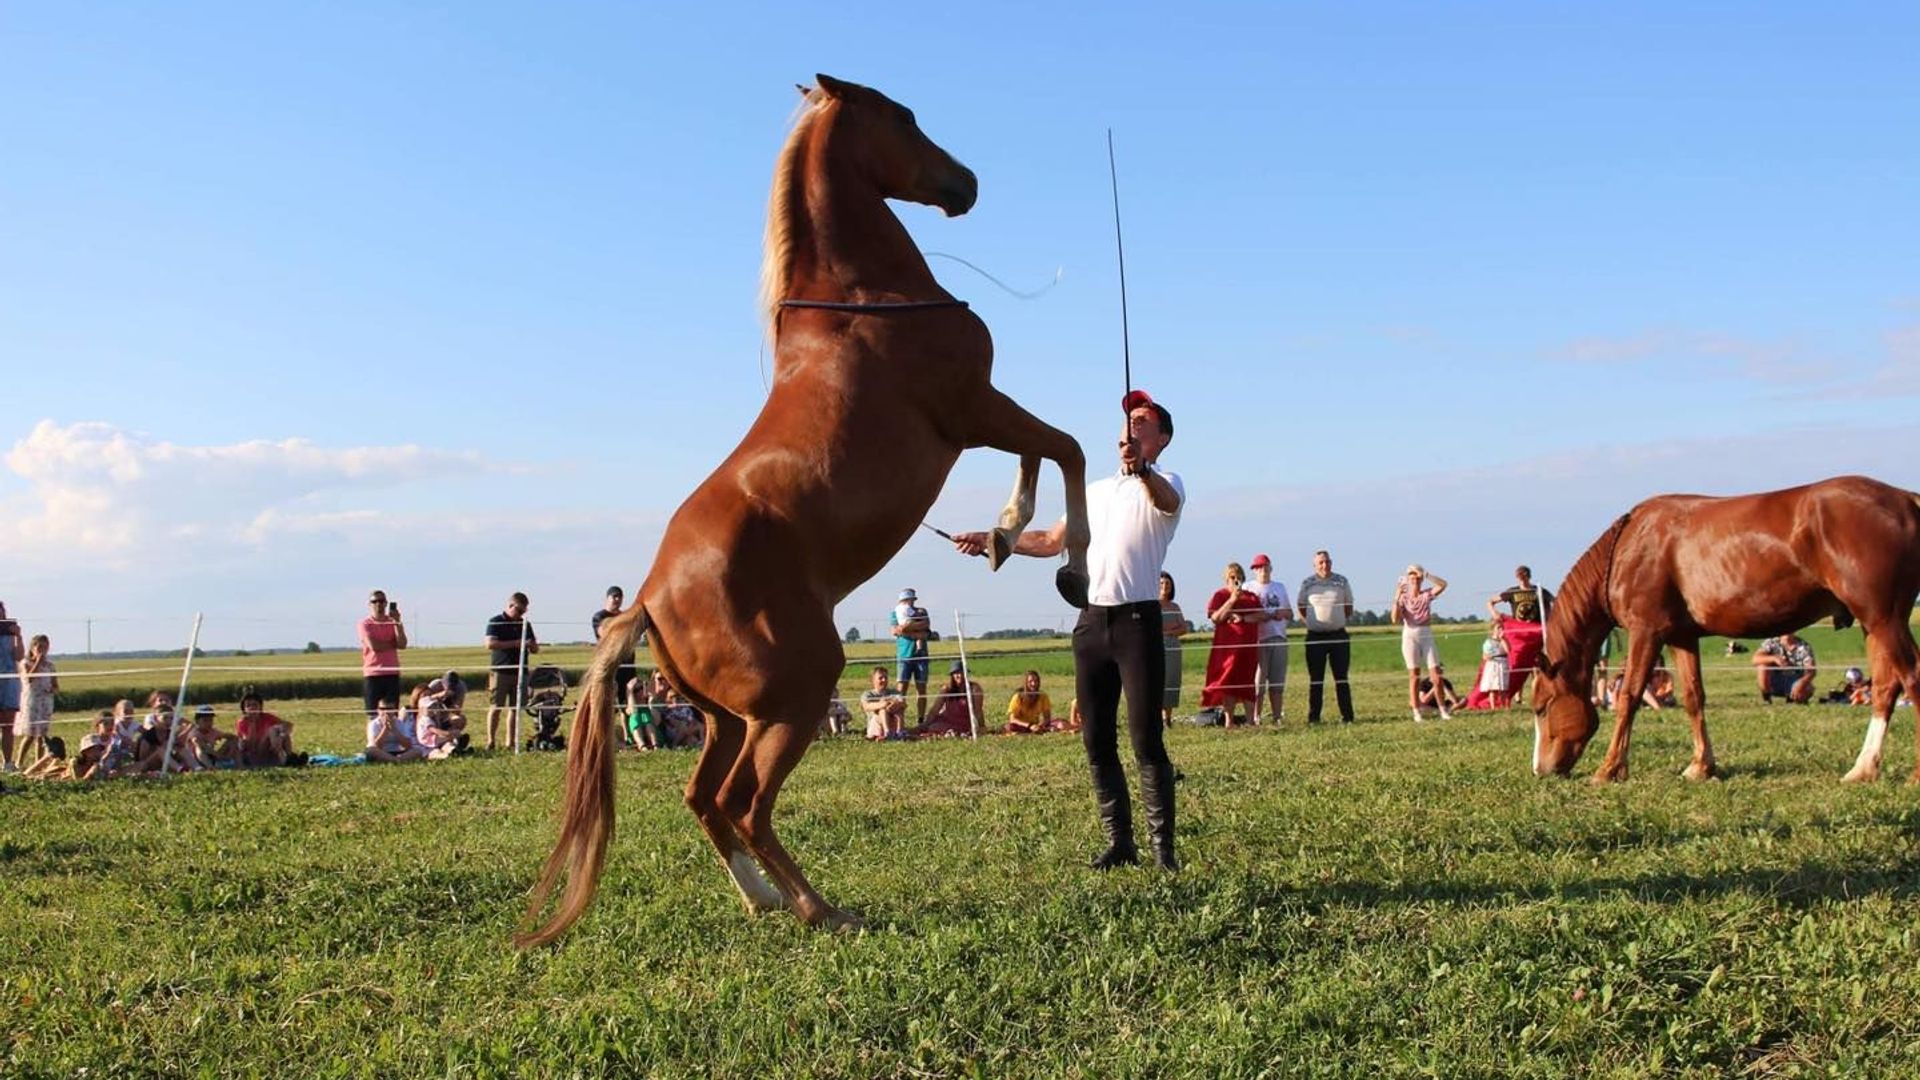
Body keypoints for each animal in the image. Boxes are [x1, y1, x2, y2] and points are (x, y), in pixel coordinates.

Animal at [518, 73, 1098, 941]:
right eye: (905, 118)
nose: (966, 183)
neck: (862, 300)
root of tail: (648, 600)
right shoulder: (973, 409)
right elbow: (1068, 448)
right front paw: (1066, 560)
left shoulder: (982, 414)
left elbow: (1044, 452)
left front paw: (1001, 533)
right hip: (794, 700)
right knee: (744, 805)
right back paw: (819, 908)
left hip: (731, 719)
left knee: (705, 800)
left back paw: (763, 899)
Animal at [1528, 474, 1920, 776]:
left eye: (1541, 707)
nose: (1540, 770)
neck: (1631, 546)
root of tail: (1906, 500)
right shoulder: (1681, 636)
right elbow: (1693, 697)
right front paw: (1701, 766)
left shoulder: (1646, 631)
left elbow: (1629, 696)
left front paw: (1609, 769)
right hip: (1875, 624)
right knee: (1886, 687)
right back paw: (1863, 769)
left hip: (1885, 620)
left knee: (1911, 678)